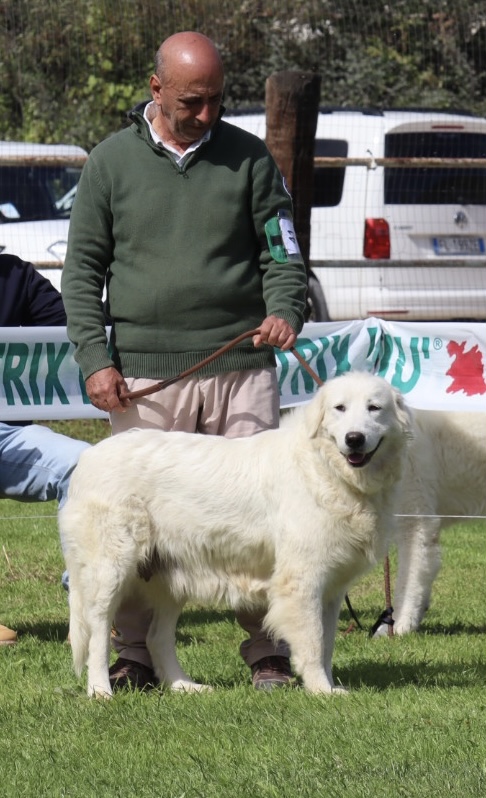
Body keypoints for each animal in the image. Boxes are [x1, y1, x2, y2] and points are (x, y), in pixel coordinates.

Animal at [59, 371, 412, 697]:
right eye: (340, 408)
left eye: (374, 408)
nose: (354, 438)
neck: (324, 467)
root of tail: (89, 456)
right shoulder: (302, 581)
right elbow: (313, 643)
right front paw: (321, 692)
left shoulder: (331, 588)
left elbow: (327, 644)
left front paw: (330, 686)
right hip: (111, 570)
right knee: (98, 631)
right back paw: (100, 690)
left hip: (170, 579)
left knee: (156, 637)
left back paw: (184, 686)